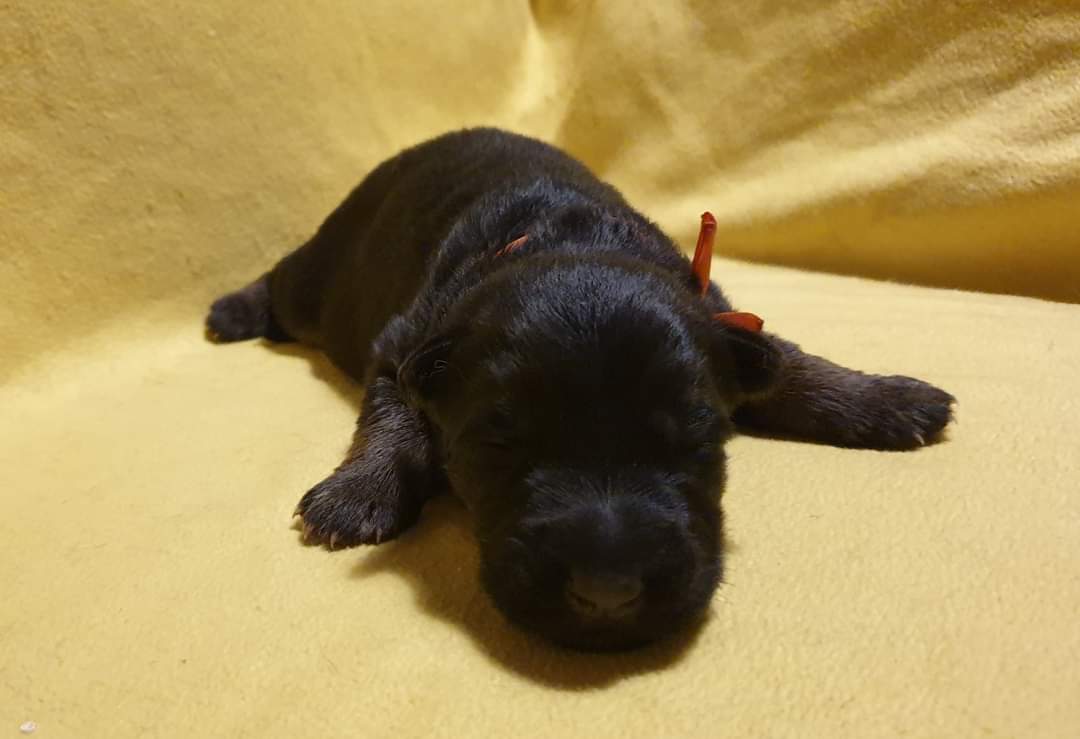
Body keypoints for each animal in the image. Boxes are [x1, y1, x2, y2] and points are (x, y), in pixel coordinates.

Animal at [206, 128, 955, 651]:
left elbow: (787, 364)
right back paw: (231, 311)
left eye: (699, 438)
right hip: (322, 280)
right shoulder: (403, 347)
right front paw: (359, 492)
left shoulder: (722, 320)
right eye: (498, 445)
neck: (566, 241)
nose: (608, 593)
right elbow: (393, 422)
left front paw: (887, 399)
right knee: (279, 280)